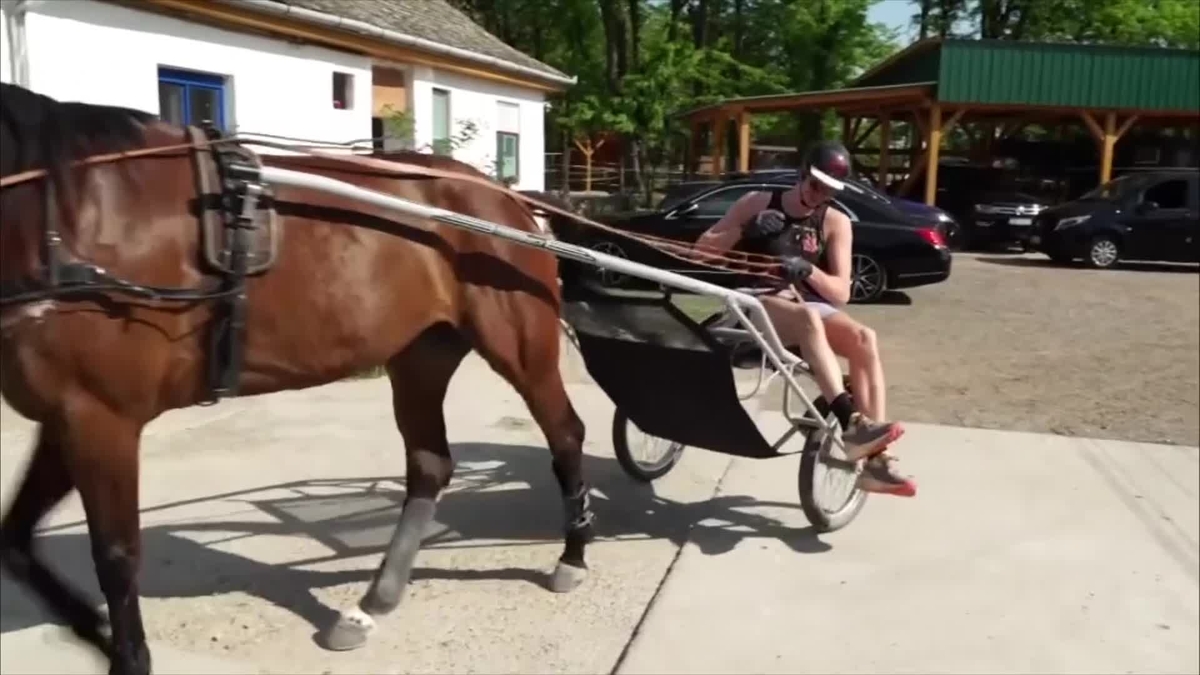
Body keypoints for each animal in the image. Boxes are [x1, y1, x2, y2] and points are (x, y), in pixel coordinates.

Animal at [0, 82, 595, 672]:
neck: (69, 218)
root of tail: (505, 196)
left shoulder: (102, 418)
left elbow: (116, 556)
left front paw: (126, 653)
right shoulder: (67, 419)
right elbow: (15, 542)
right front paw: (92, 628)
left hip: (522, 348)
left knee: (566, 435)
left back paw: (573, 556)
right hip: (419, 359)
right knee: (431, 464)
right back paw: (373, 602)